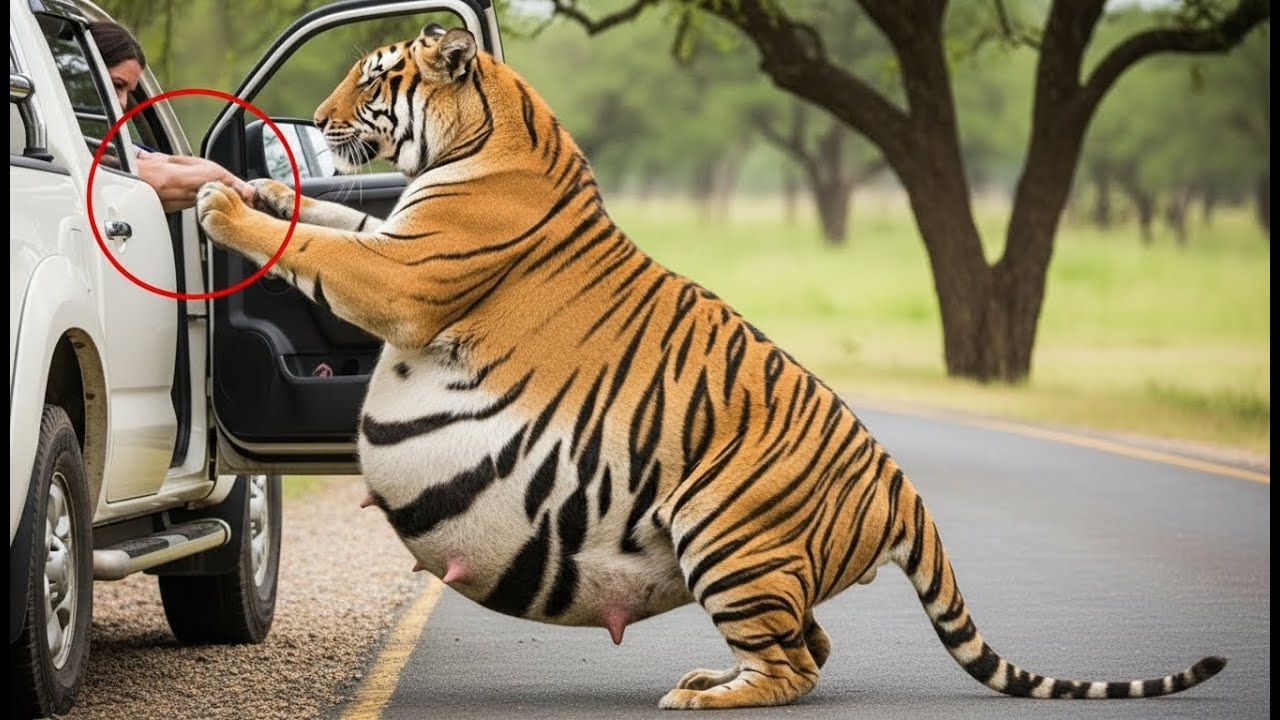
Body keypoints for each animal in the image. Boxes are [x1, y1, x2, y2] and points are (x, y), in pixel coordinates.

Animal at [195, 23, 1226, 710]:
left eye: (371, 80)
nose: (317, 120)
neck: (486, 130)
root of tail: (900, 487)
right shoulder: (391, 238)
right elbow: (329, 218)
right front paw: (251, 185)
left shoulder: (404, 274)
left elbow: (321, 244)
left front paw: (221, 204)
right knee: (811, 643)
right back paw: (711, 671)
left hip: (723, 528)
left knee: (794, 669)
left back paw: (703, 692)